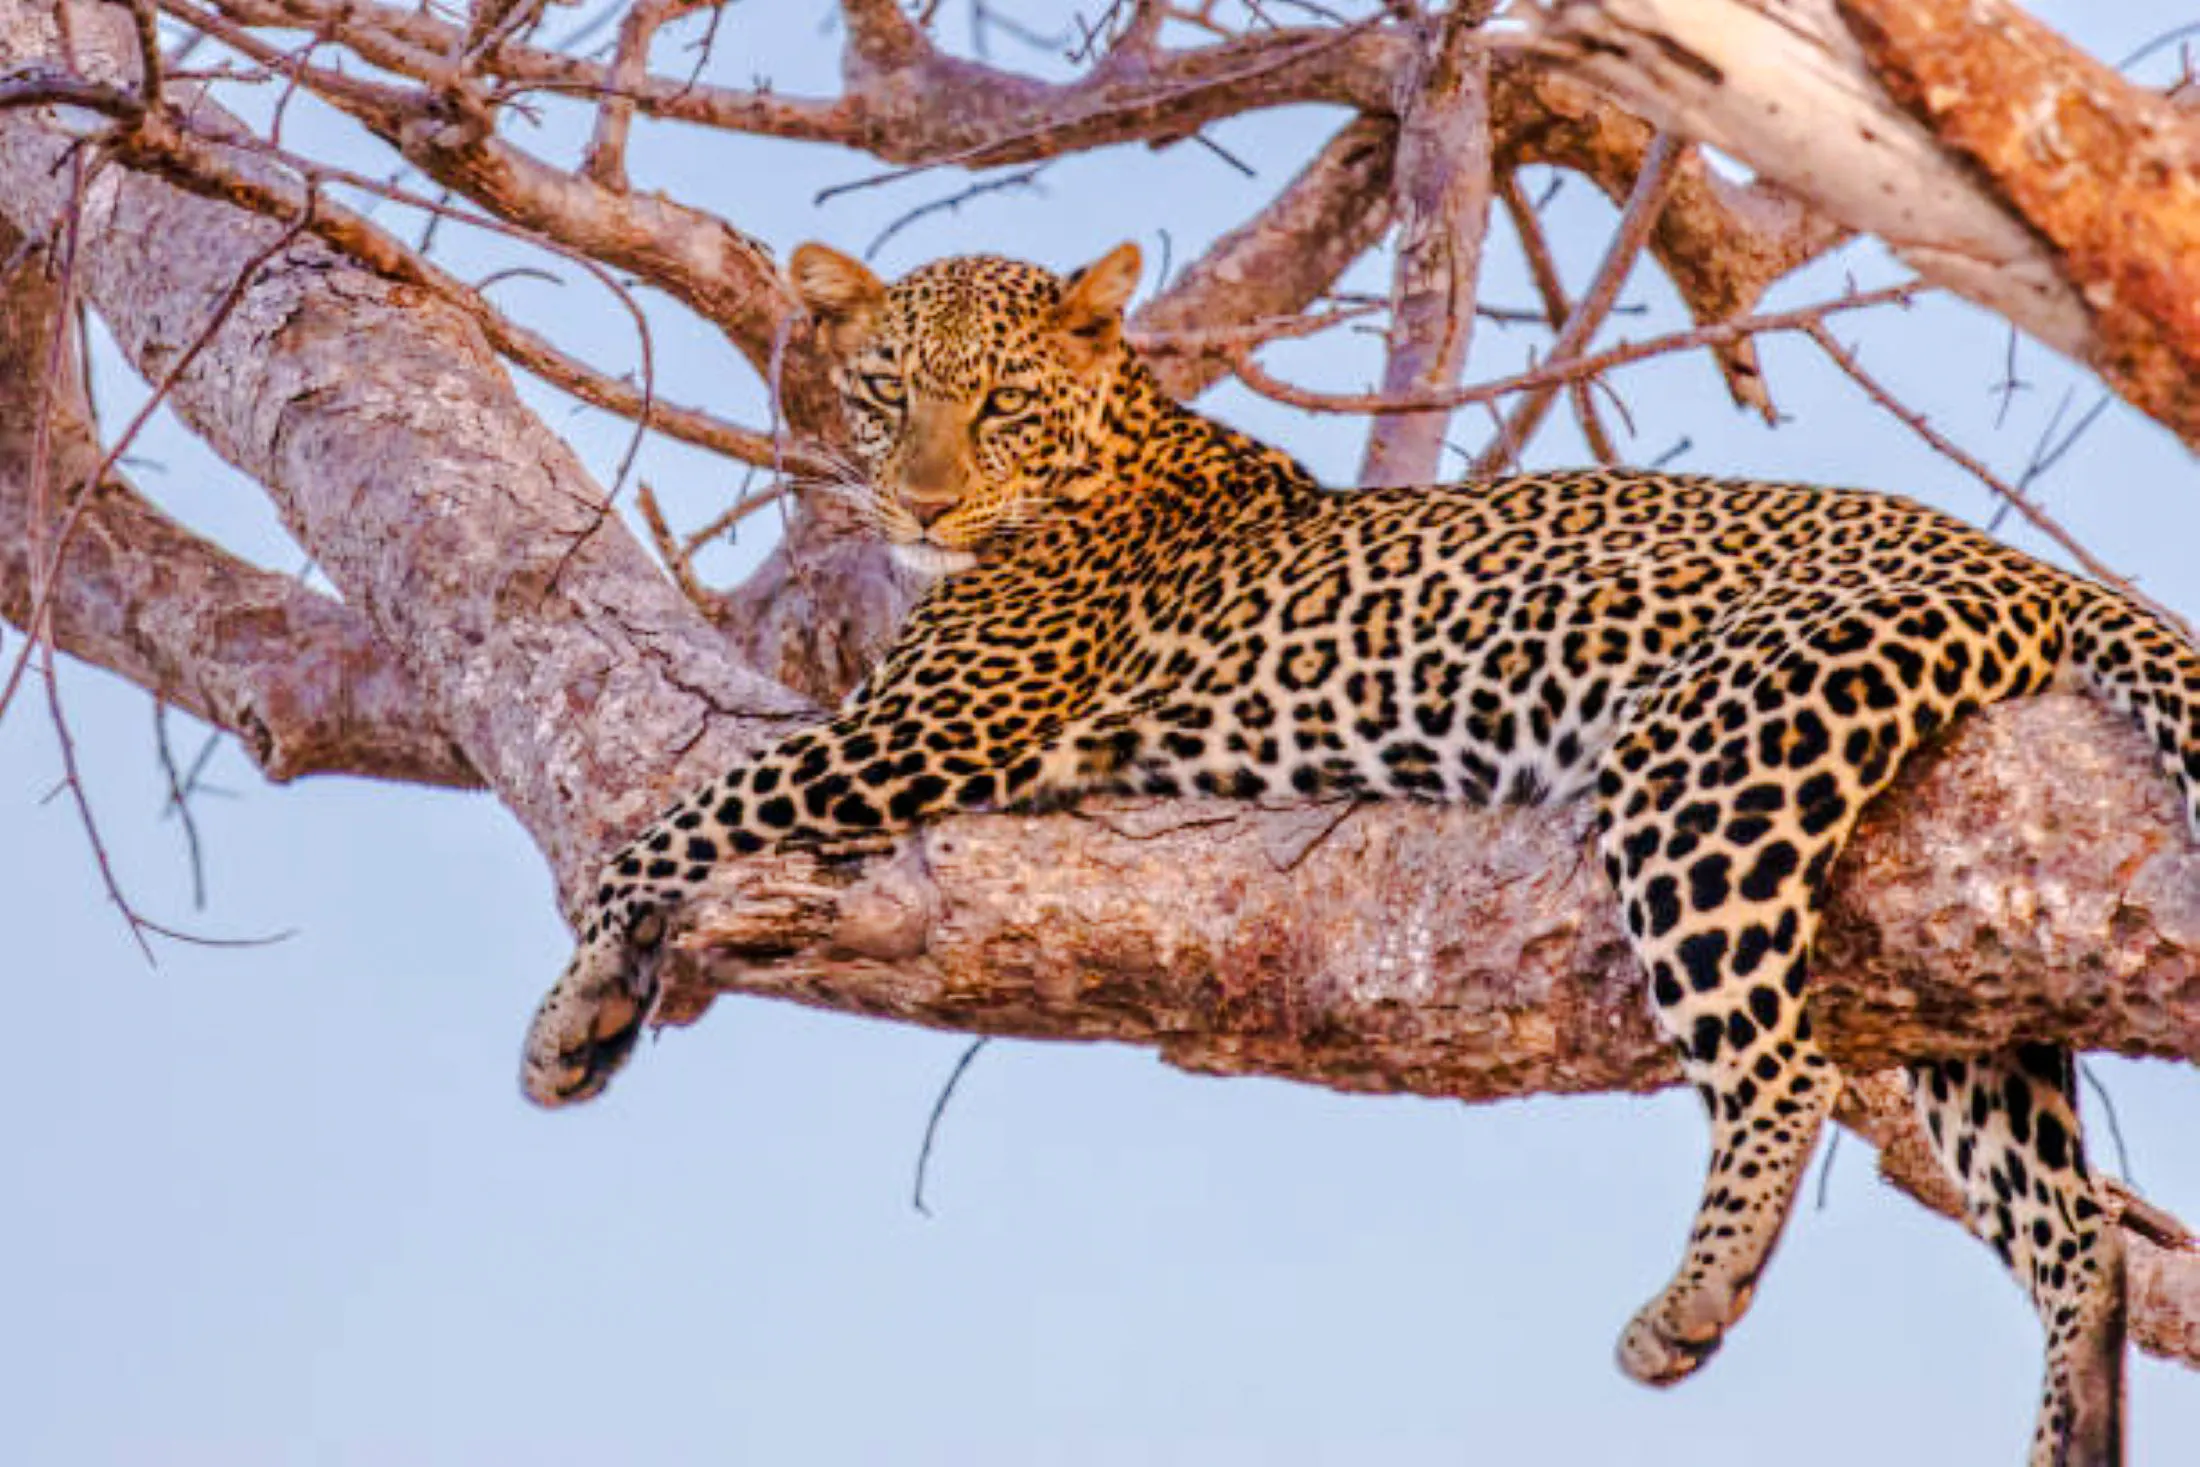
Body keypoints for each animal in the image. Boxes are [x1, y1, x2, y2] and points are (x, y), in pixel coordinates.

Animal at [524, 240, 2200, 1466]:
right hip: (1963, 983)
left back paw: (1688, 1305)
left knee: (1775, 1070)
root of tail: (2017, 560)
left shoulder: (928, 727)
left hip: (1708, 769)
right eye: (884, 389)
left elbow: (673, 818)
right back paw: (2073, 1428)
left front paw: (571, 1012)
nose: (920, 502)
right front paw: (598, 1000)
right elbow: (690, 810)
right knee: (2075, 1227)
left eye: (998, 402)